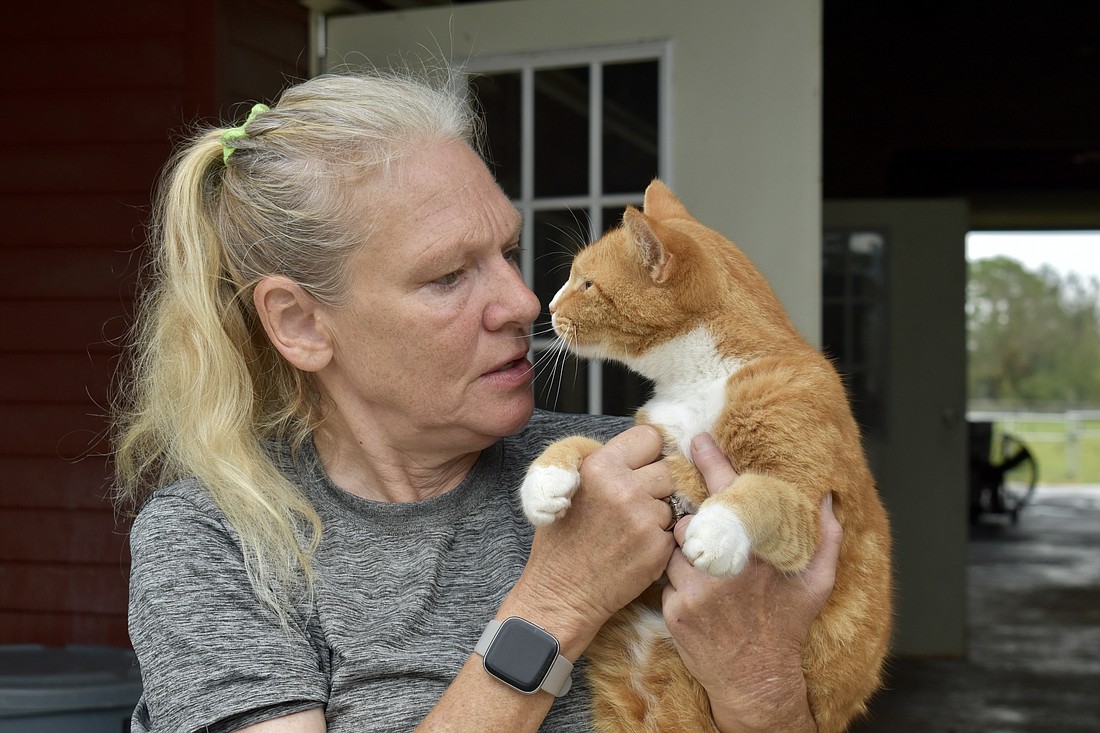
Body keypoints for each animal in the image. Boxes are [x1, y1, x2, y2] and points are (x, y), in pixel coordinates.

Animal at [519, 181, 888, 730]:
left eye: (586, 284)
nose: (547, 303)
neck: (701, 379)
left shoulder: (809, 507)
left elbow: (758, 493)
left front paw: (714, 530)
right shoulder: (651, 440)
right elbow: (584, 444)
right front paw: (543, 482)